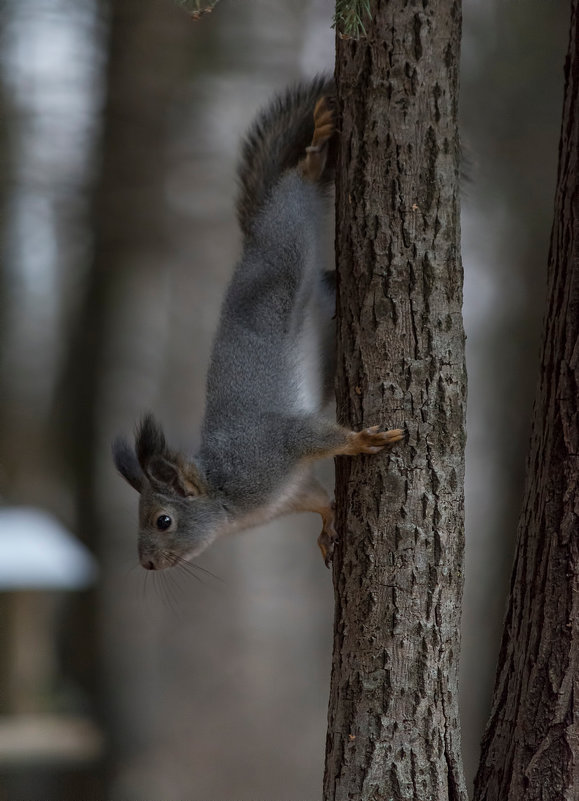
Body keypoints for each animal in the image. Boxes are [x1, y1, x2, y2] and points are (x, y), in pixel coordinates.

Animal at [112, 76, 404, 568]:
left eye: (163, 521)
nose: (147, 563)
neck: (227, 499)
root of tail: (250, 243)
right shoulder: (294, 490)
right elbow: (320, 499)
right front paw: (326, 528)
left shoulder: (275, 447)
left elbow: (320, 436)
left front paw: (361, 440)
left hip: (286, 237)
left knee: (295, 190)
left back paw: (314, 151)